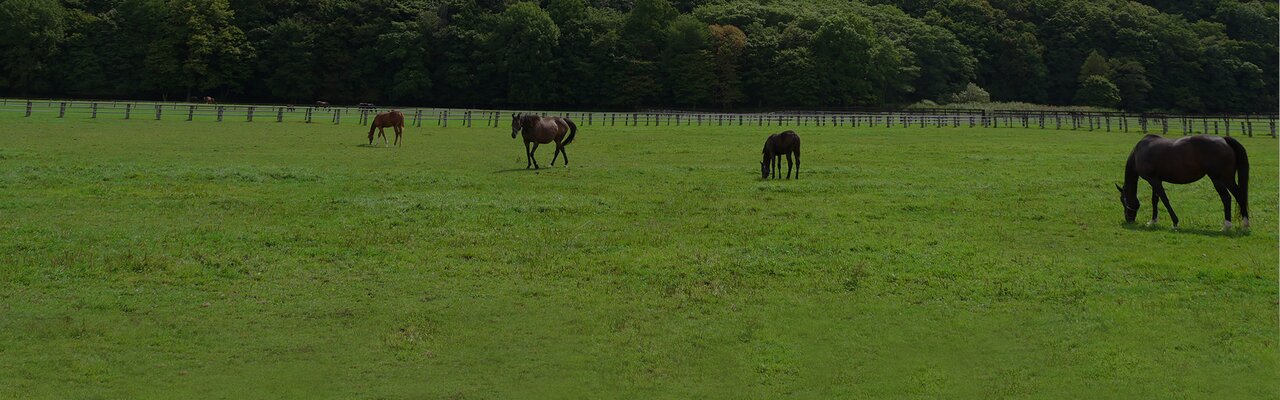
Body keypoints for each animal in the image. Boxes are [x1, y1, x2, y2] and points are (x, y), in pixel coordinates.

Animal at [1117, 134, 1249, 231]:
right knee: (1240, 196)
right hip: (1229, 179)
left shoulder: (1153, 180)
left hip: (1219, 179)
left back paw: (1226, 226)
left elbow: (1164, 200)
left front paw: (1175, 222)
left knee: (1227, 198)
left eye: (1123, 200)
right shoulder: (1155, 180)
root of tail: (1224, 140)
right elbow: (1155, 200)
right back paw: (1245, 225)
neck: (1139, 152)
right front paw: (1153, 221)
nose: (1129, 219)